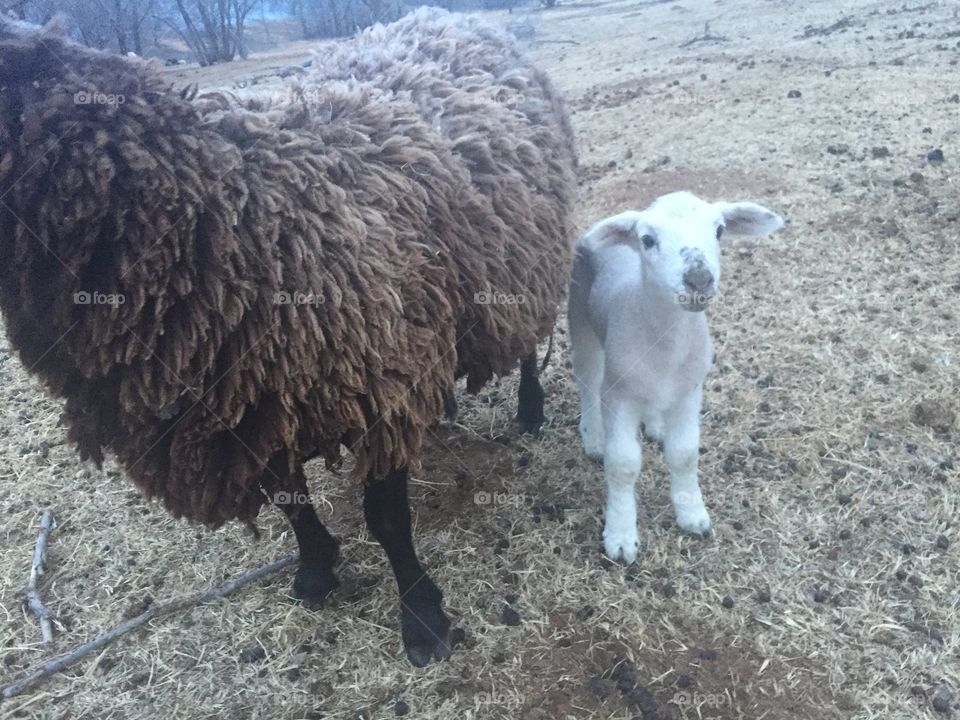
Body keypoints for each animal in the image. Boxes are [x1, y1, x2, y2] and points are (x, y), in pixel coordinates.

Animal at [0, 8, 572, 668]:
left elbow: (386, 519)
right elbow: (289, 499)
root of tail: (452, 17)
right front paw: (316, 571)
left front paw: (422, 619)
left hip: (520, 264)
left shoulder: (376, 382)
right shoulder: (253, 404)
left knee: (527, 339)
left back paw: (530, 408)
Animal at [568, 193, 780, 564]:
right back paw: (593, 436)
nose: (698, 278)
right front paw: (621, 535)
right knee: (587, 379)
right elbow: (623, 463)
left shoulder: (689, 391)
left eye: (720, 230)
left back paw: (655, 425)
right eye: (647, 240)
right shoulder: (619, 394)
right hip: (579, 319)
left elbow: (684, 453)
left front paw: (692, 514)